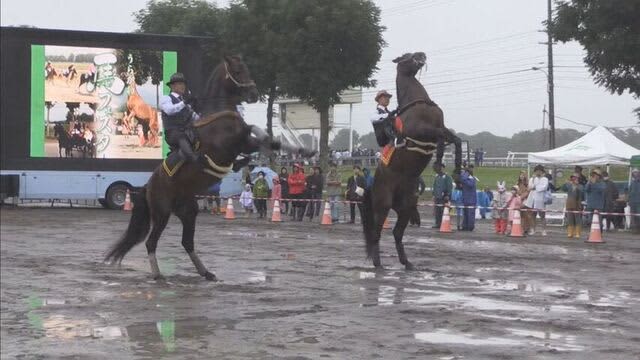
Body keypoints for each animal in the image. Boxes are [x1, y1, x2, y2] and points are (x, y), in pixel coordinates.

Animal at [105, 55, 316, 282]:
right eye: (238, 71)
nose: (253, 94)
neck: (219, 113)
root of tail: (148, 186)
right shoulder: (232, 145)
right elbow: (259, 138)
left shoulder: (242, 141)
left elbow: (263, 137)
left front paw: (305, 150)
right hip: (162, 213)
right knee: (151, 242)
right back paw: (158, 275)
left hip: (189, 211)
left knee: (187, 242)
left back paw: (206, 272)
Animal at [360, 51, 460, 270]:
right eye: (405, 56)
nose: (420, 55)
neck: (419, 103)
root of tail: (372, 185)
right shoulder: (425, 131)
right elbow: (440, 138)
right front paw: (438, 162)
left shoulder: (442, 127)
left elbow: (456, 140)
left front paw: (458, 169)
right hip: (383, 204)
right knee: (377, 233)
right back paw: (378, 264)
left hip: (405, 206)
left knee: (397, 233)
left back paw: (407, 263)